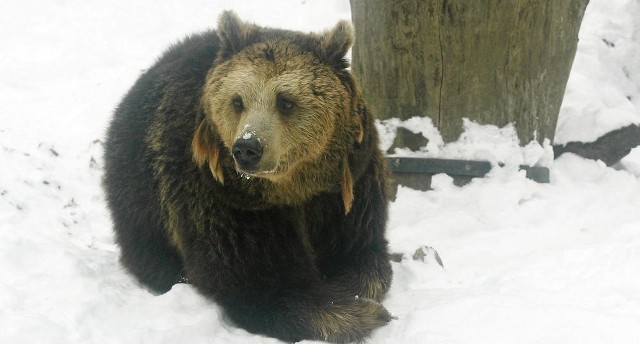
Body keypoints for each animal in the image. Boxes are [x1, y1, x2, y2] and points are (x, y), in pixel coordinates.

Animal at [104, 11, 392, 344]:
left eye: (286, 101)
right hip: (140, 192)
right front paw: (358, 314)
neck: (293, 187)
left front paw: (352, 290)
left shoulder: (345, 186)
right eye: (237, 100)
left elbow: (362, 252)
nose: (247, 148)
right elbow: (256, 279)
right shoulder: (223, 197)